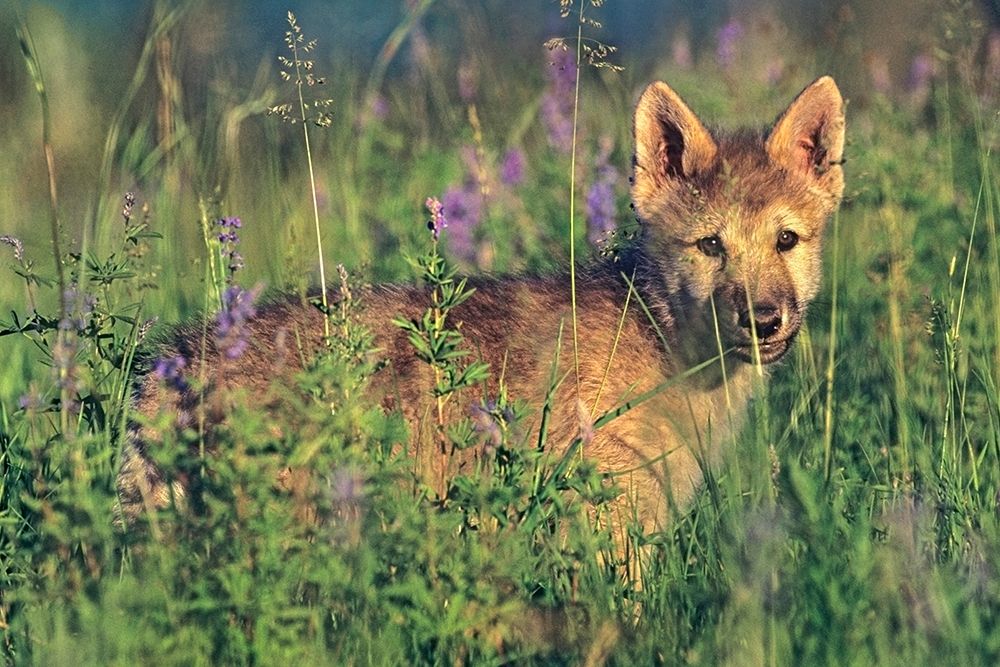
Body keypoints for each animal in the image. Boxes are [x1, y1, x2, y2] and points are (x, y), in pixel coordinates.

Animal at [117, 76, 845, 538]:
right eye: (711, 244)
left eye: (786, 240)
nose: (765, 319)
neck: (657, 346)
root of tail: (173, 360)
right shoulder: (603, 523)